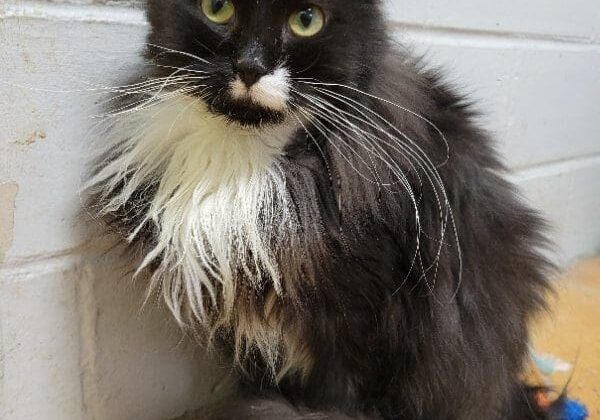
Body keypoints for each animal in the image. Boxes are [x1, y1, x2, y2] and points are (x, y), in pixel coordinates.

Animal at [88, 0, 564, 420]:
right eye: (217, 8)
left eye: (306, 20)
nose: (251, 67)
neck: (243, 164)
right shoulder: (242, 323)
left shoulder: (358, 321)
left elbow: (336, 397)